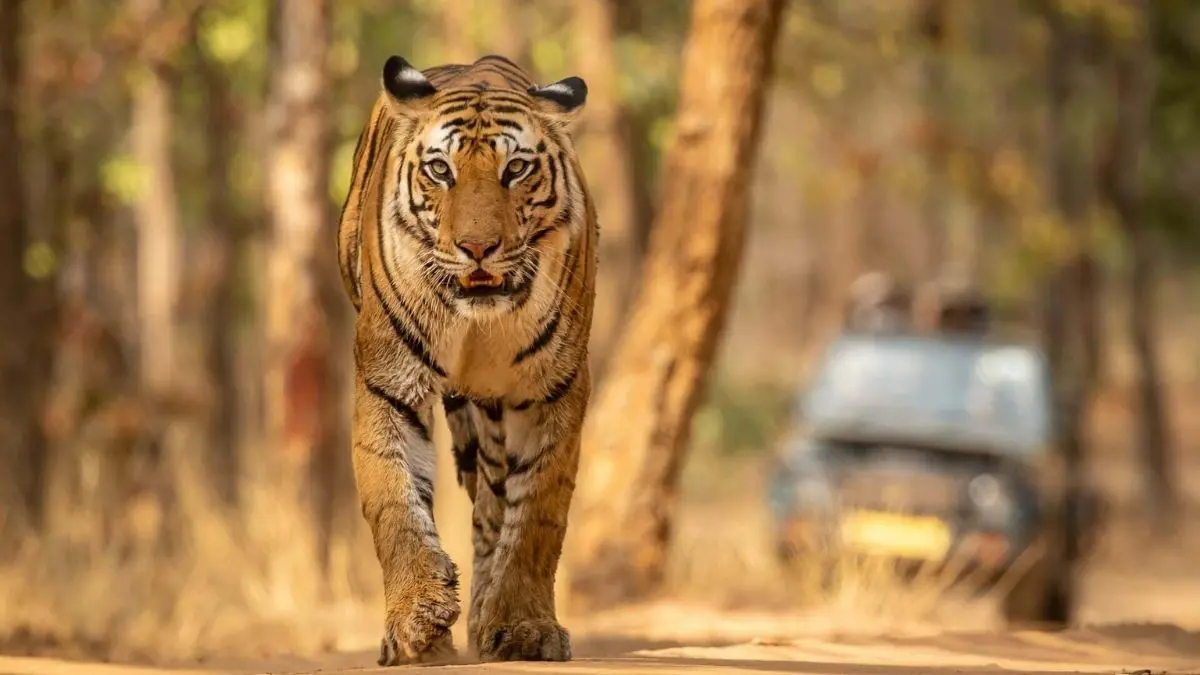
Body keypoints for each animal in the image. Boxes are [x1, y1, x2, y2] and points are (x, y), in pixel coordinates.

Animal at [335, 53, 595, 665]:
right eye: (440, 170)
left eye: (516, 169)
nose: (477, 249)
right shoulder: (387, 382)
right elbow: (395, 502)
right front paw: (417, 621)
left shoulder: (554, 390)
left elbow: (537, 516)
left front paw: (525, 627)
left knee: (492, 509)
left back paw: (486, 619)